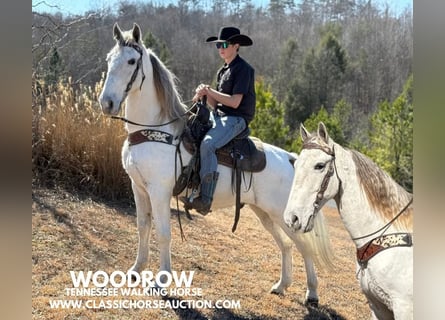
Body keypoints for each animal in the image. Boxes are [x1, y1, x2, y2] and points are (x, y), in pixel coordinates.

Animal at [98, 23, 332, 306]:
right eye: (109, 59)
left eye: (131, 61)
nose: (107, 103)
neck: (156, 129)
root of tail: (292, 160)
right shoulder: (139, 188)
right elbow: (143, 227)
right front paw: (135, 270)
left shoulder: (159, 191)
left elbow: (163, 233)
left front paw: (161, 281)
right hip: (264, 213)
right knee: (286, 244)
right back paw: (281, 285)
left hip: (283, 214)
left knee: (304, 246)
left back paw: (312, 293)